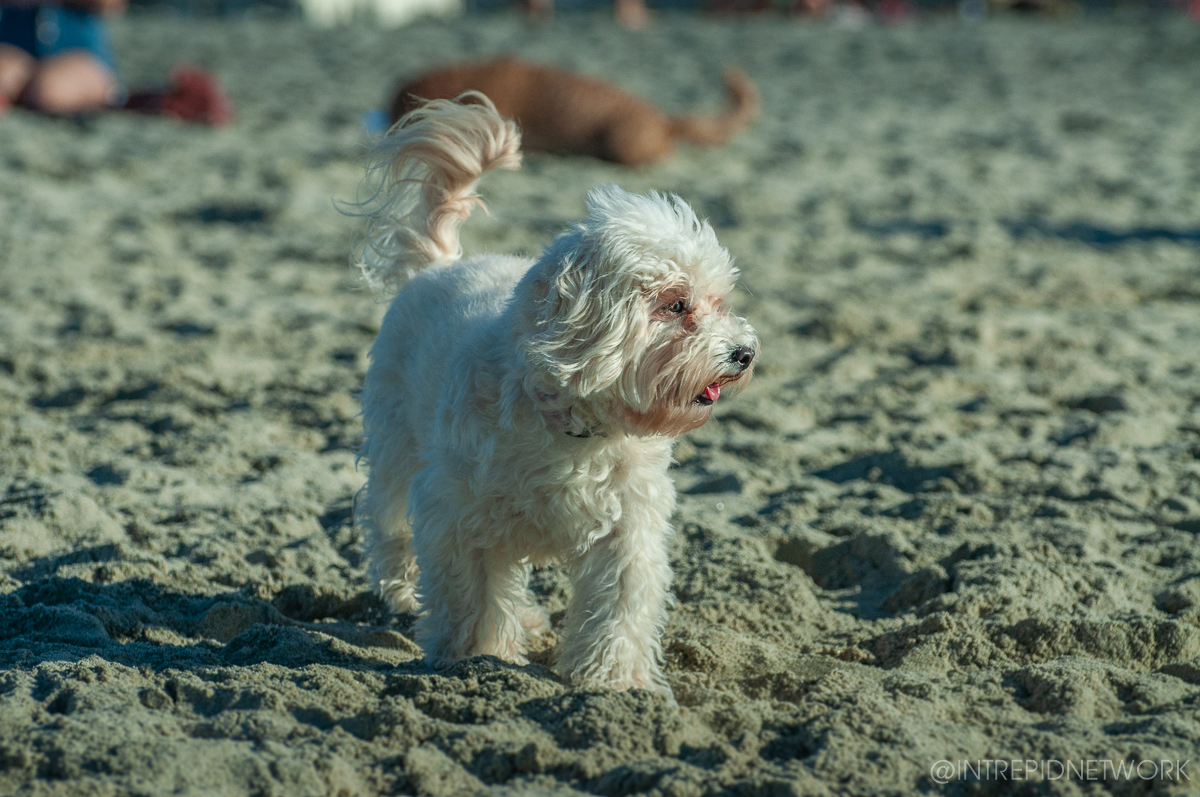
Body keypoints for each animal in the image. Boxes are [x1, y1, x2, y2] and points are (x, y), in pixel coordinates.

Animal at [350, 93, 753, 696]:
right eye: (676, 304)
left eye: (718, 301)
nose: (744, 353)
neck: (575, 423)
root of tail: (441, 264)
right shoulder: (456, 511)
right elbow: (471, 594)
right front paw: (477, 657)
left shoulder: (629, 525)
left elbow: (618, 605)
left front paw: (615, 682)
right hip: (396, 443)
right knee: (389, 525)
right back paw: (401, 592)